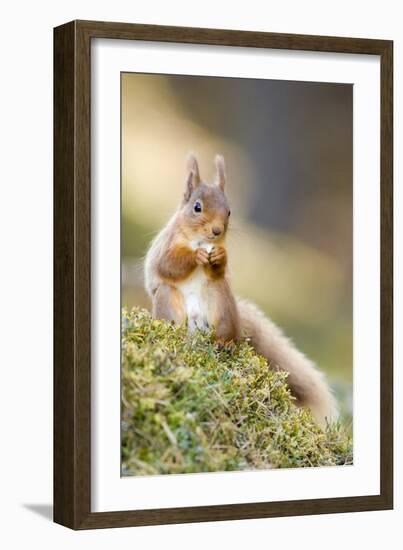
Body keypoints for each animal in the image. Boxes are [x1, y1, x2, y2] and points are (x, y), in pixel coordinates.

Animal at [145, 155, 338, 426]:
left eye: (229, 211)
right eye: (197, 207)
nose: (217, 231)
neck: (199, 240)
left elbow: (220, 268)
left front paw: (219, 257)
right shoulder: (166, 247)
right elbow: (168, 265)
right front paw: (196, 256)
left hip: (221, 301)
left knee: (227, 332)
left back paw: (224, 343)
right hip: (167, 300)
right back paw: (176, 334)